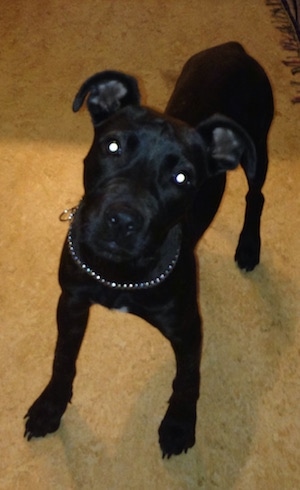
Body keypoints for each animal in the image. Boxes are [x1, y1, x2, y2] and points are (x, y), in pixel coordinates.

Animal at [25, 43, 274, 460]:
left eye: (182, 178)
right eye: (112, 146)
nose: (121, 221)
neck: (119, 274)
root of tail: (234, 48)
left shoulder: (187, 328)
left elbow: (187, 378)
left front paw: (179, 425)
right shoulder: (72, 301)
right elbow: (63, 357)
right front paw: (51, 406)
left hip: (258, 151)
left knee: (256, 196)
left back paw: (248, 246)